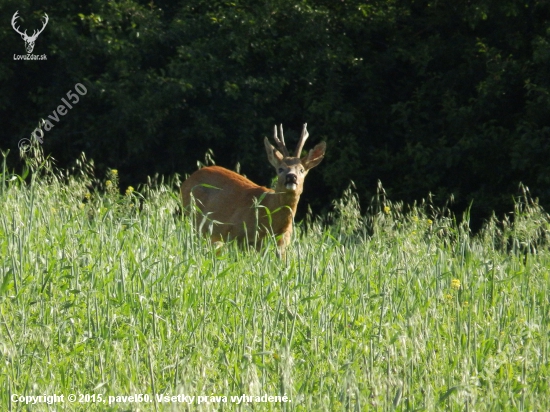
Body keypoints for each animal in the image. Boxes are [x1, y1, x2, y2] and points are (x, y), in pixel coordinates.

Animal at [181, 122, 328, 253]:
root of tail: (187, 180)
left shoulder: (282, 243)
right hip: (195, 217)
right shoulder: (239, 235)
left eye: (302, 170)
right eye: (280, 169)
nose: (291, 177)